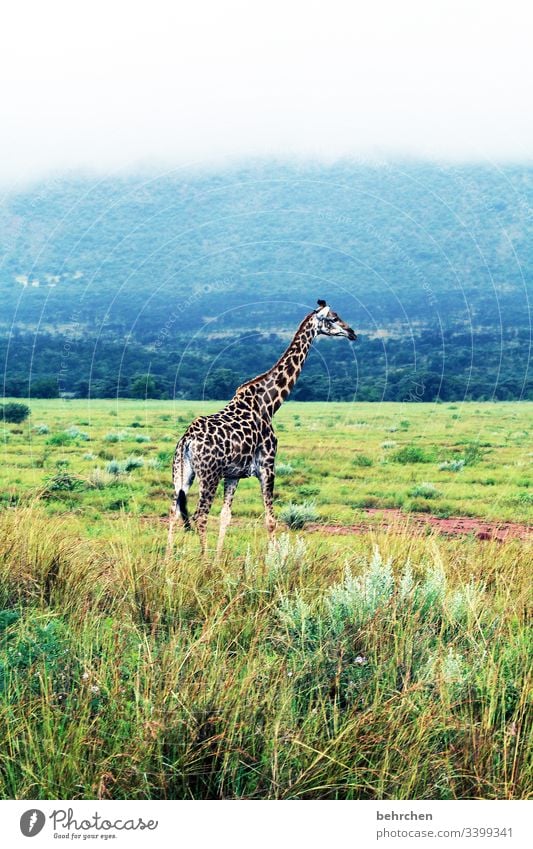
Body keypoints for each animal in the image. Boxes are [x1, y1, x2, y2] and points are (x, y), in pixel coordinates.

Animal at [166, 300, 358, 556]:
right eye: (334, 318)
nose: (352, 332)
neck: (269, 403)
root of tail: (186, 440)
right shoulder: (267, 466)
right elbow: (271, 520)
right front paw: (273, 560)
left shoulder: (233, 474)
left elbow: (226, 517)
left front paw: (219, 559)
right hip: (208, 474)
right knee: (199, 516)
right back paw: (202, 560)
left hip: (182, 472)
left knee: (174, 512)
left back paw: (167, 561)